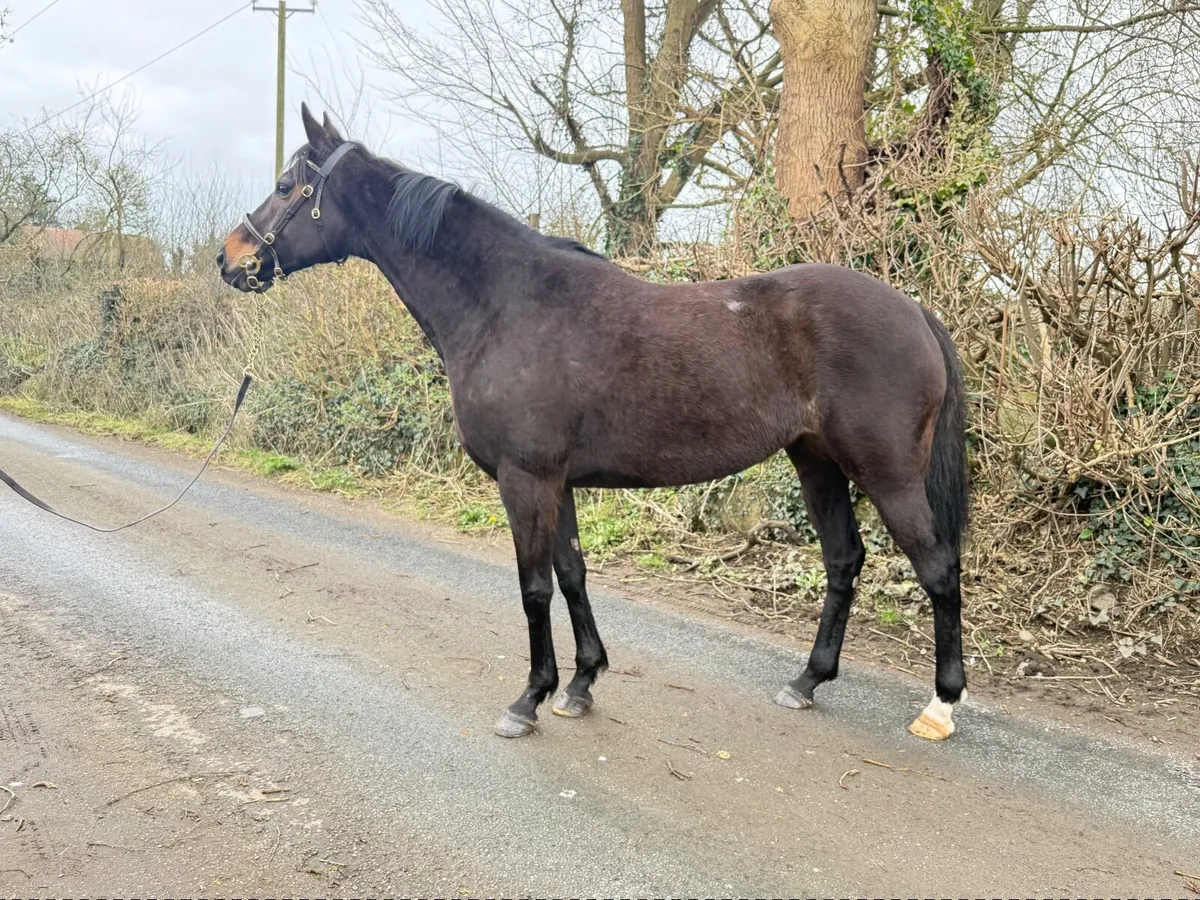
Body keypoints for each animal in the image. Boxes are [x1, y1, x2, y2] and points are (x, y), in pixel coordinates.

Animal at [218, 105, 970, 742]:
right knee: (844, 560)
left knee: (937, 566)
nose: (230, 258)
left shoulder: (525, 481)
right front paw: (580, 684)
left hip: (886, 472)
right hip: (816, 461)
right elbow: (573, 574)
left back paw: (940, 705)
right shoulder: (558, 483)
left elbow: (534, 588)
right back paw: (808, 681)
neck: (508, 303)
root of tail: (913, 309)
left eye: (286, 186)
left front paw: (529, 698)